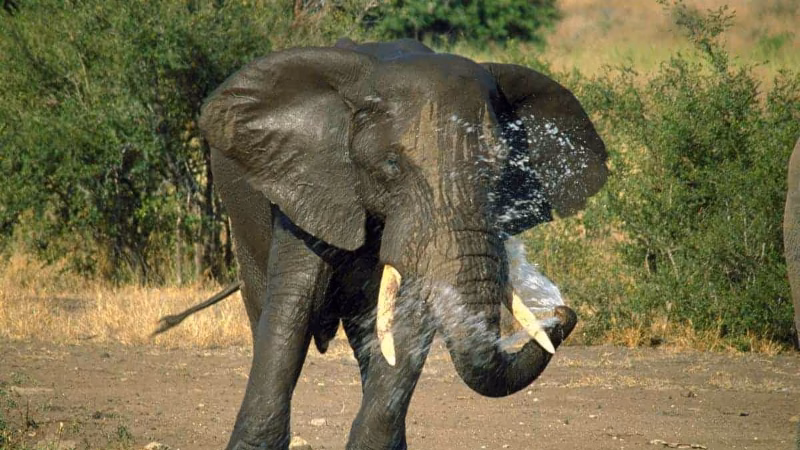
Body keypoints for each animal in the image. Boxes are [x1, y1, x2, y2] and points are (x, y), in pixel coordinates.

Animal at [196, 37, 608, 449]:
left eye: (503, 169)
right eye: (392, 166)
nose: (561, 312)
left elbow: (411, 316)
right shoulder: (310, 180)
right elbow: (294, 303)